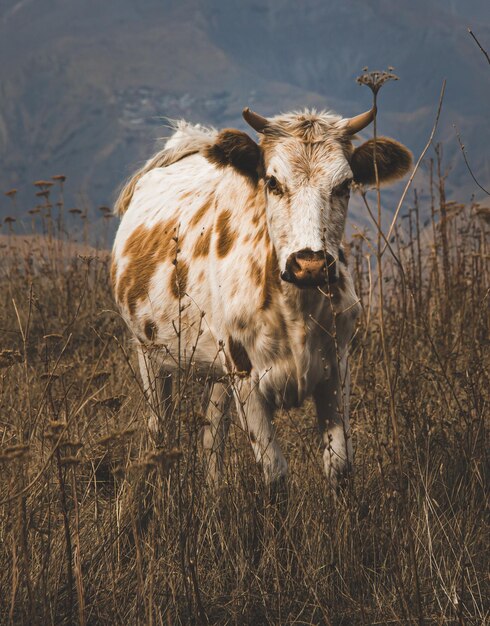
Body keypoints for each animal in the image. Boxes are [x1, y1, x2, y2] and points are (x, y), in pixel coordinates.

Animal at [112, 106, 414, 488]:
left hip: (217, 372)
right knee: (160, 429)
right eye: (273, 182)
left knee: (212, 435)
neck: (296, 309)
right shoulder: (246, 378)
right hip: (149, 353)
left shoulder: (336, 370)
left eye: (344, 185)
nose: (310, 263)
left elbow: (339, 466)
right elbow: (274, 474)